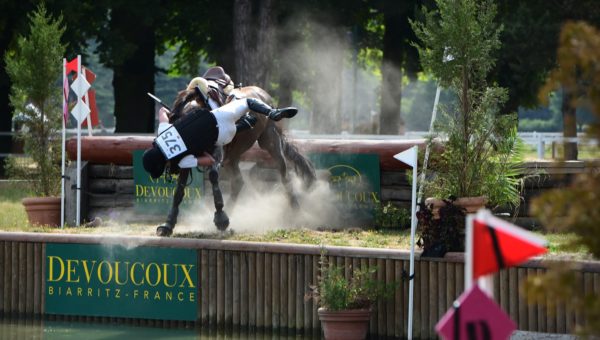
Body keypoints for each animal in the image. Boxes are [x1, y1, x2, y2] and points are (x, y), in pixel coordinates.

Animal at [156, 84, 318, 236]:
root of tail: (263, 94)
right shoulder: (190, 159)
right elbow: (179, 190)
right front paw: (168, 224)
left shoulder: (217, 153)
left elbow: (213, 176)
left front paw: (220, 218)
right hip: (232, 157)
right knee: (238, 182)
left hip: (270, 140)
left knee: (284, 175)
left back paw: (296, 212)